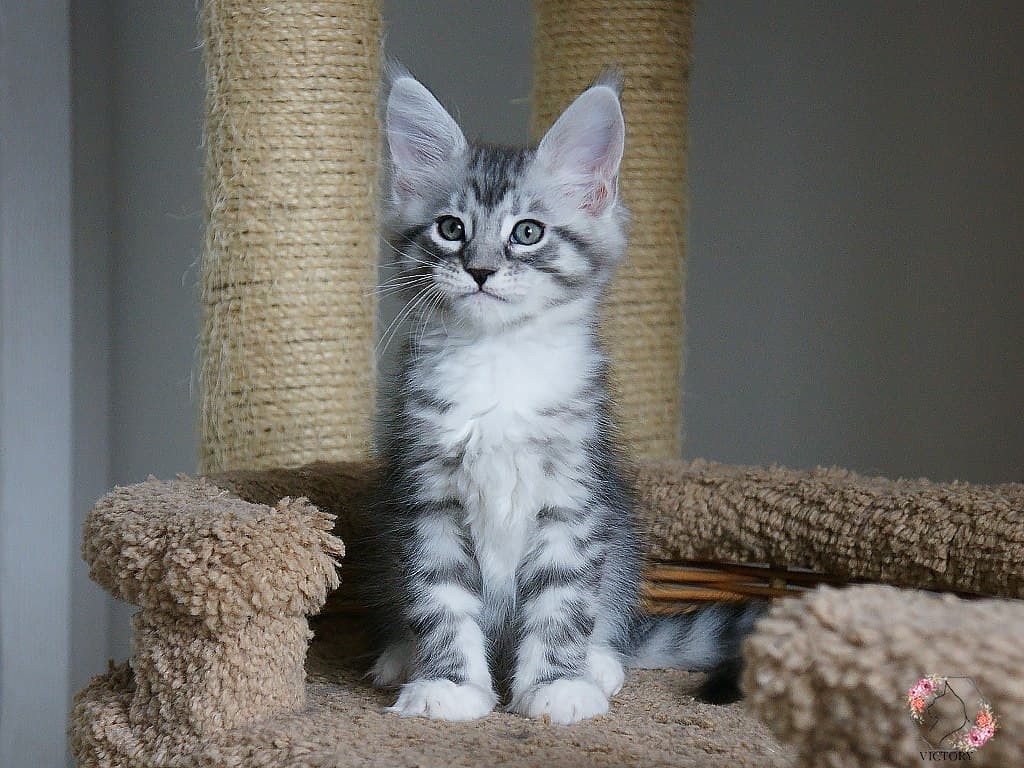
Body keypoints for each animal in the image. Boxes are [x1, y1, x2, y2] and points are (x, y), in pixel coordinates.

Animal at [365, 67, 762, 724]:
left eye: (527, 233)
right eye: (452, 229)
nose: (479, 270)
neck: (500, 362)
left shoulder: (573, 498)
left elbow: (562, 602)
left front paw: (556, 686)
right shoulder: (427, 499)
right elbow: (441, 599)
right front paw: (450, 686)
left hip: (619, 541)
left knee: (609, 621)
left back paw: (600, 664)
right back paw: (399, 657)